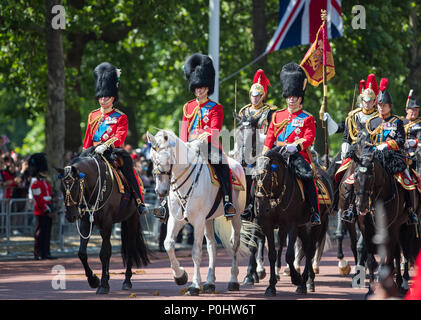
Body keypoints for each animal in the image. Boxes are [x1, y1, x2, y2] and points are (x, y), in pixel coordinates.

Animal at [56, 154, 149, 294]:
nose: (71, 216)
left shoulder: (106, 223)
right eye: (62, 188)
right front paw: (93, 280)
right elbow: (82, 253)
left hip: (132, 219)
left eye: (75, 187)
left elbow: (104, 253)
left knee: (130, 248)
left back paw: (127, 281)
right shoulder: (86, 223)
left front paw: (103, 284)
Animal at [147, 130, 248, 296]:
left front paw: (194, 285)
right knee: (212, 246)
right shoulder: (176, 219)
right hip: (208, 219)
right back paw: (210, 283)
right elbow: (168, 244)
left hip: (236, 216)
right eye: (152, 158)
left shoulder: (198, 221)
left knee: (234, 244)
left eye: (167, 157)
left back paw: (233, 281)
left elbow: (196, 252)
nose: (161, 191)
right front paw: (180, 276)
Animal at [251, 146, 330, 296]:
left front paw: (296, 278)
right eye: (254, 177)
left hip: (317, 225)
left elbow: (289, 255)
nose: (261, 208)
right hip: (303, 227)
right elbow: (272, 254)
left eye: (268, 177)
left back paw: (306, 282)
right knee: (306, 247)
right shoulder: (268, 225)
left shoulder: (292, 224)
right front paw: (271, 286)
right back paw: (306, 282)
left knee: (310, 250)